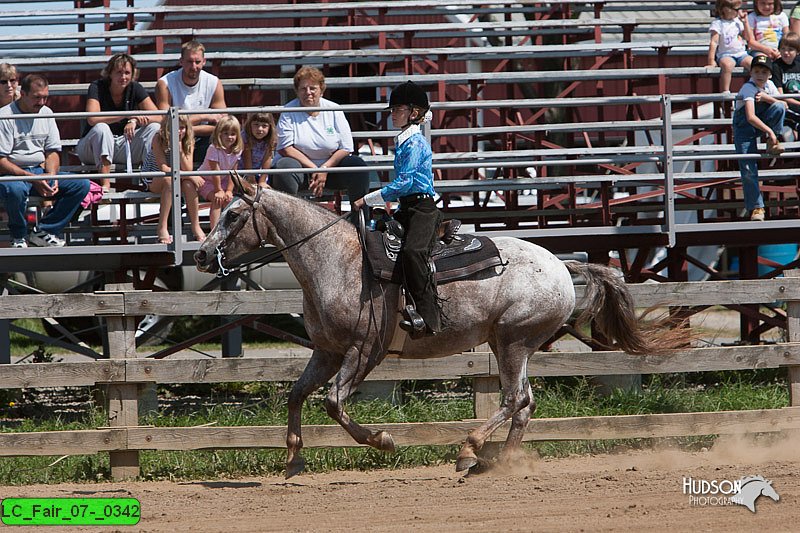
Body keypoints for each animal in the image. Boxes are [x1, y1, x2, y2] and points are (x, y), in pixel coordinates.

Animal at [192, 178, 680, 478]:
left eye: (233, 216)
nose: (200, 255)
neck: (336, 260)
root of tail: (563, 265)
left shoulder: (363, 351)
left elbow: (332, 402)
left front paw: (383, 441)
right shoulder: (326, 351)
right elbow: (297, 394)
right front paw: (293, 459)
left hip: (513, 340)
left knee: (513, 399)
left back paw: (469, 450)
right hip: (513, 345)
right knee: (524, 403)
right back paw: (502, 460)